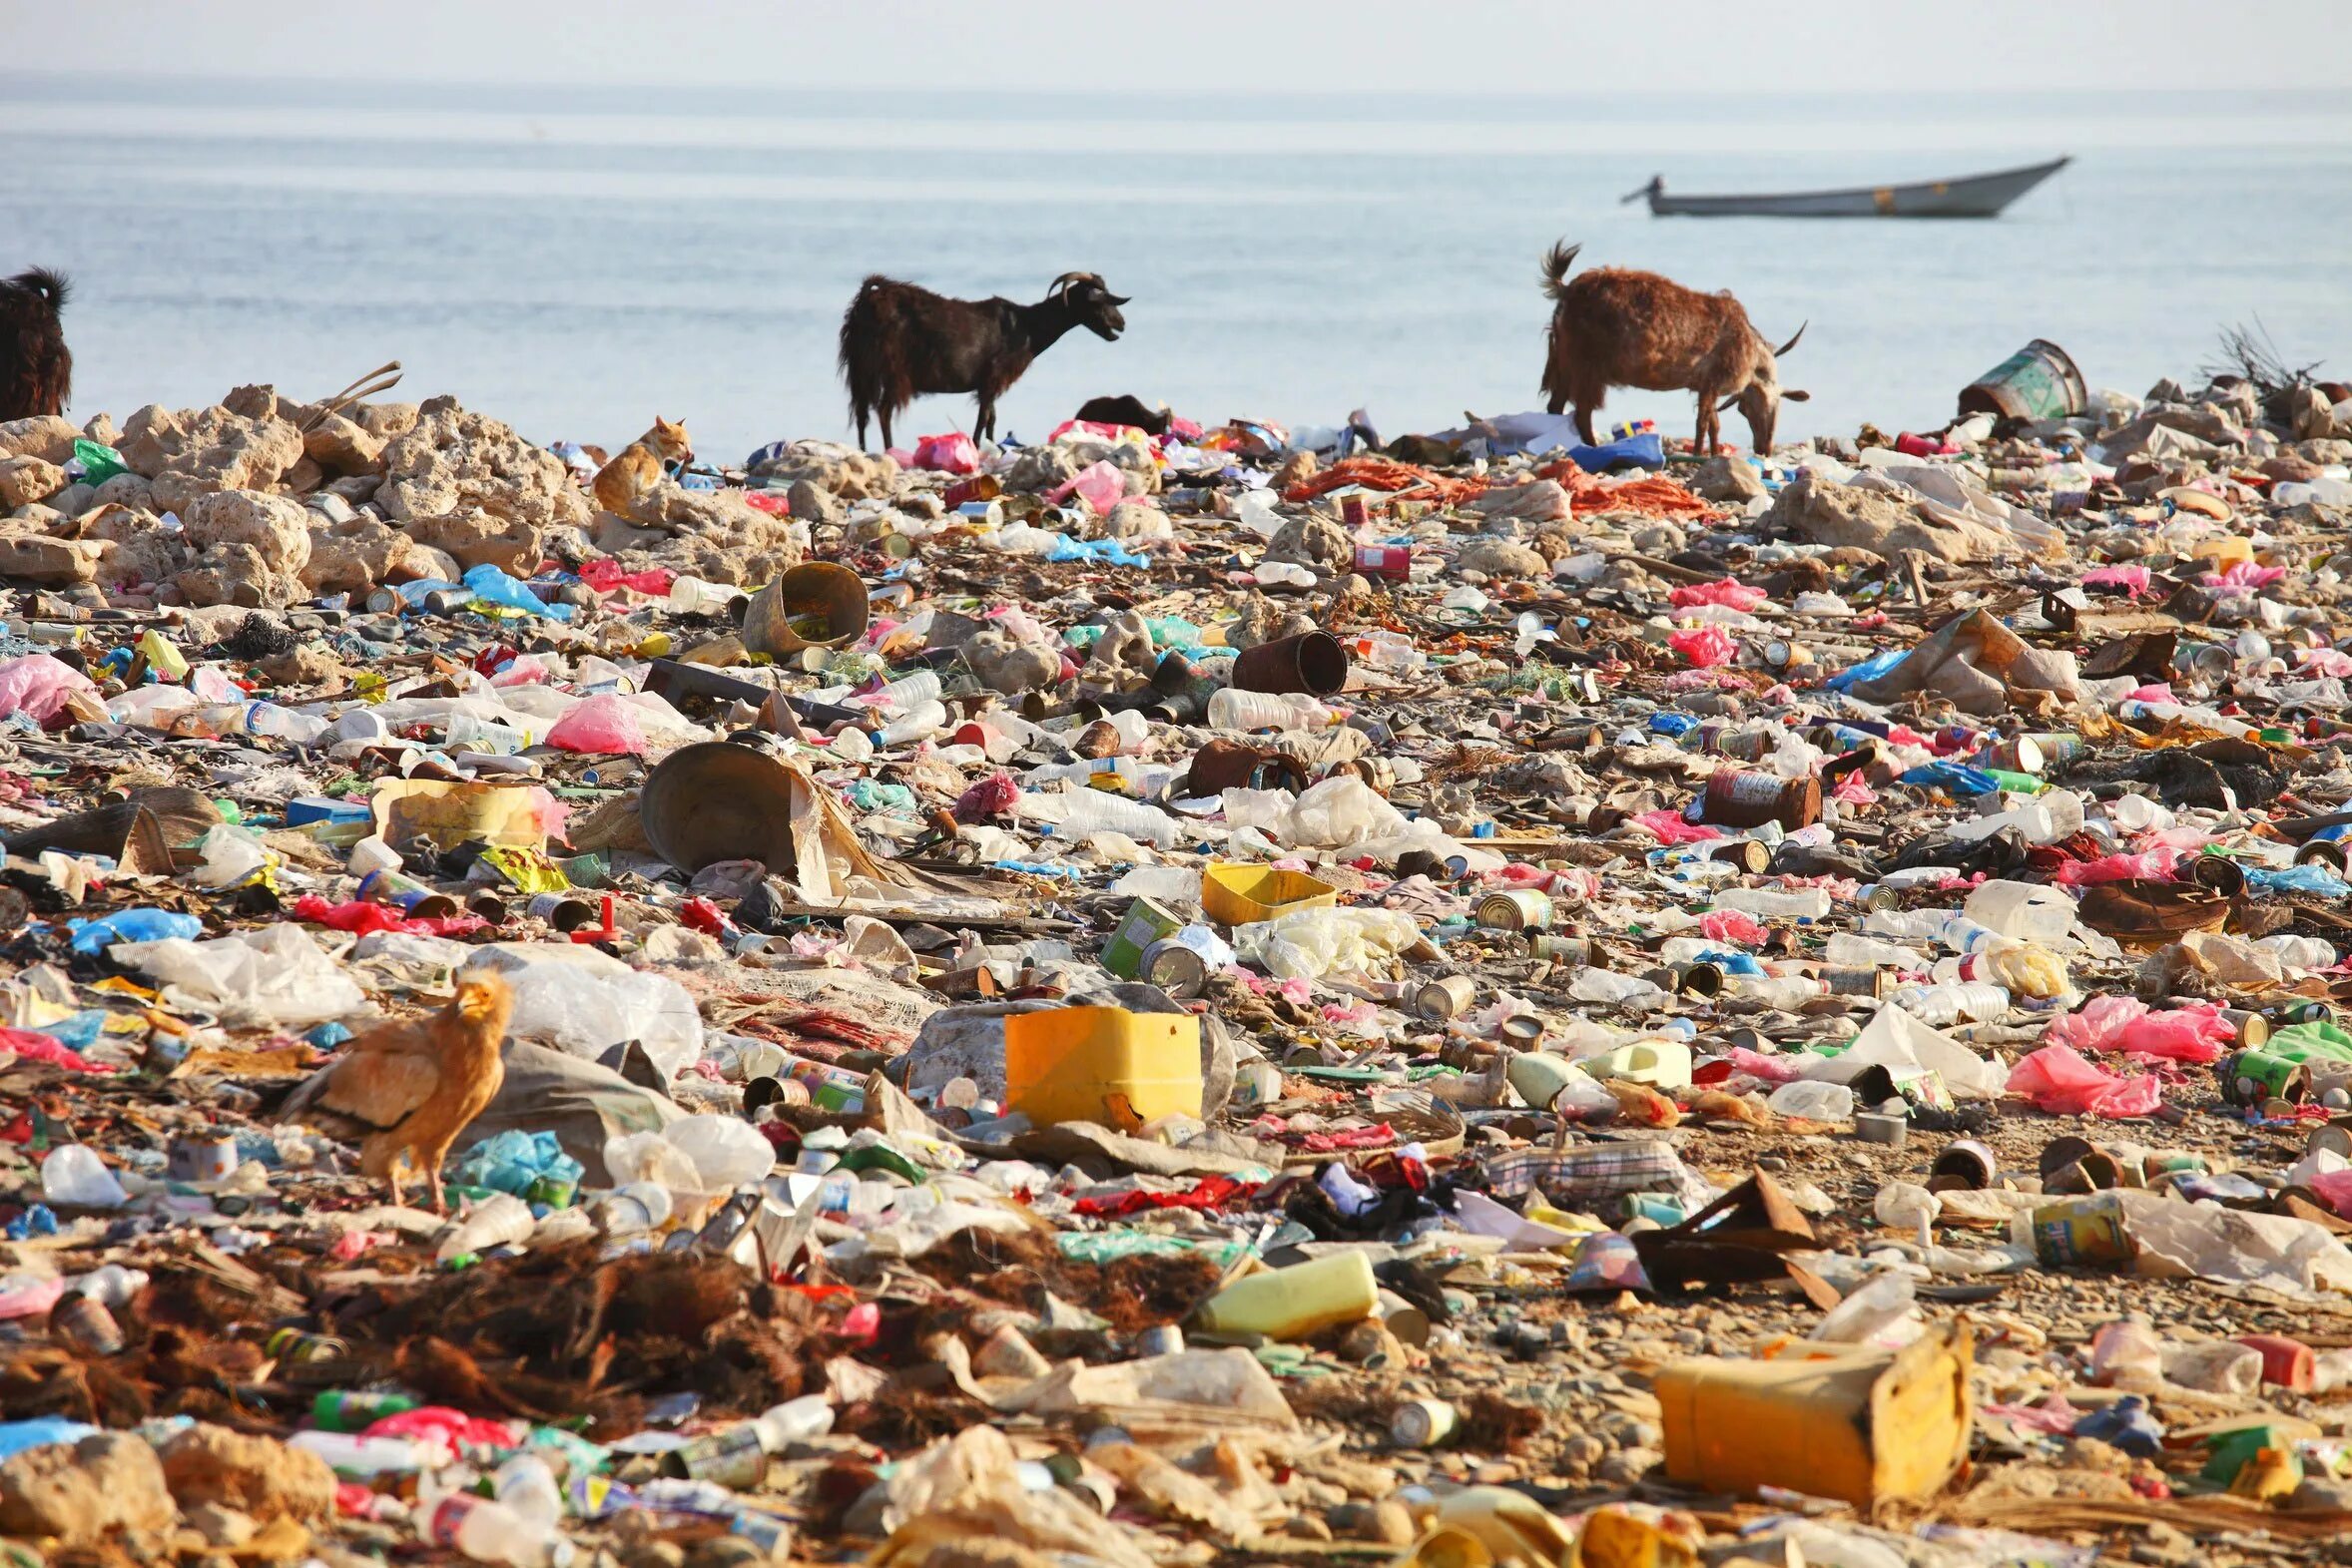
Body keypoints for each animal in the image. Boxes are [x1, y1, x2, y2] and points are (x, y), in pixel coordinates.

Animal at [837, 271, 1128, 446]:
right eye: (1098, 301)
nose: (1122, 323)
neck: (1028, 327)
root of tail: (868, 300)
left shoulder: (990, 382)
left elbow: (991, 418)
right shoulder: (992, 378)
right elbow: (984, 417)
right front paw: (977, 447)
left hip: (860, 369)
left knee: (861, 413)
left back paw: (864, 451)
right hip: (892, 370)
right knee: (883, 411)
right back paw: (890, 450)